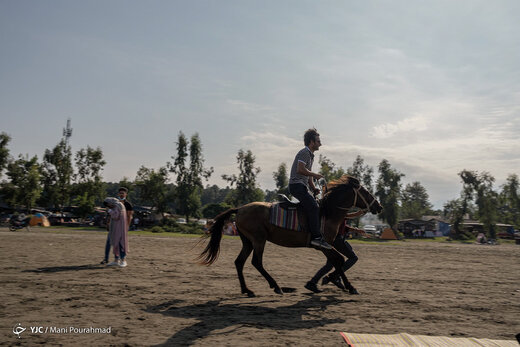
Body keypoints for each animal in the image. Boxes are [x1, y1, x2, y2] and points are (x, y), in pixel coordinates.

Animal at [199, 175, 382, 298]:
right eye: (366, 191)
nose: (379, 206)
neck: (327, 212)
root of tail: (240, 209)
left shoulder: (328, 246)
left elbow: (337, 261)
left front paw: (333, 282)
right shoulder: (323, 245)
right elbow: (339, 261)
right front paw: (349, 286)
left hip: (248, 241)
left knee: (239, 262)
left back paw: (247, 290)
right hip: (258, 239)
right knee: (256, 262)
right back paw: (276, 286)